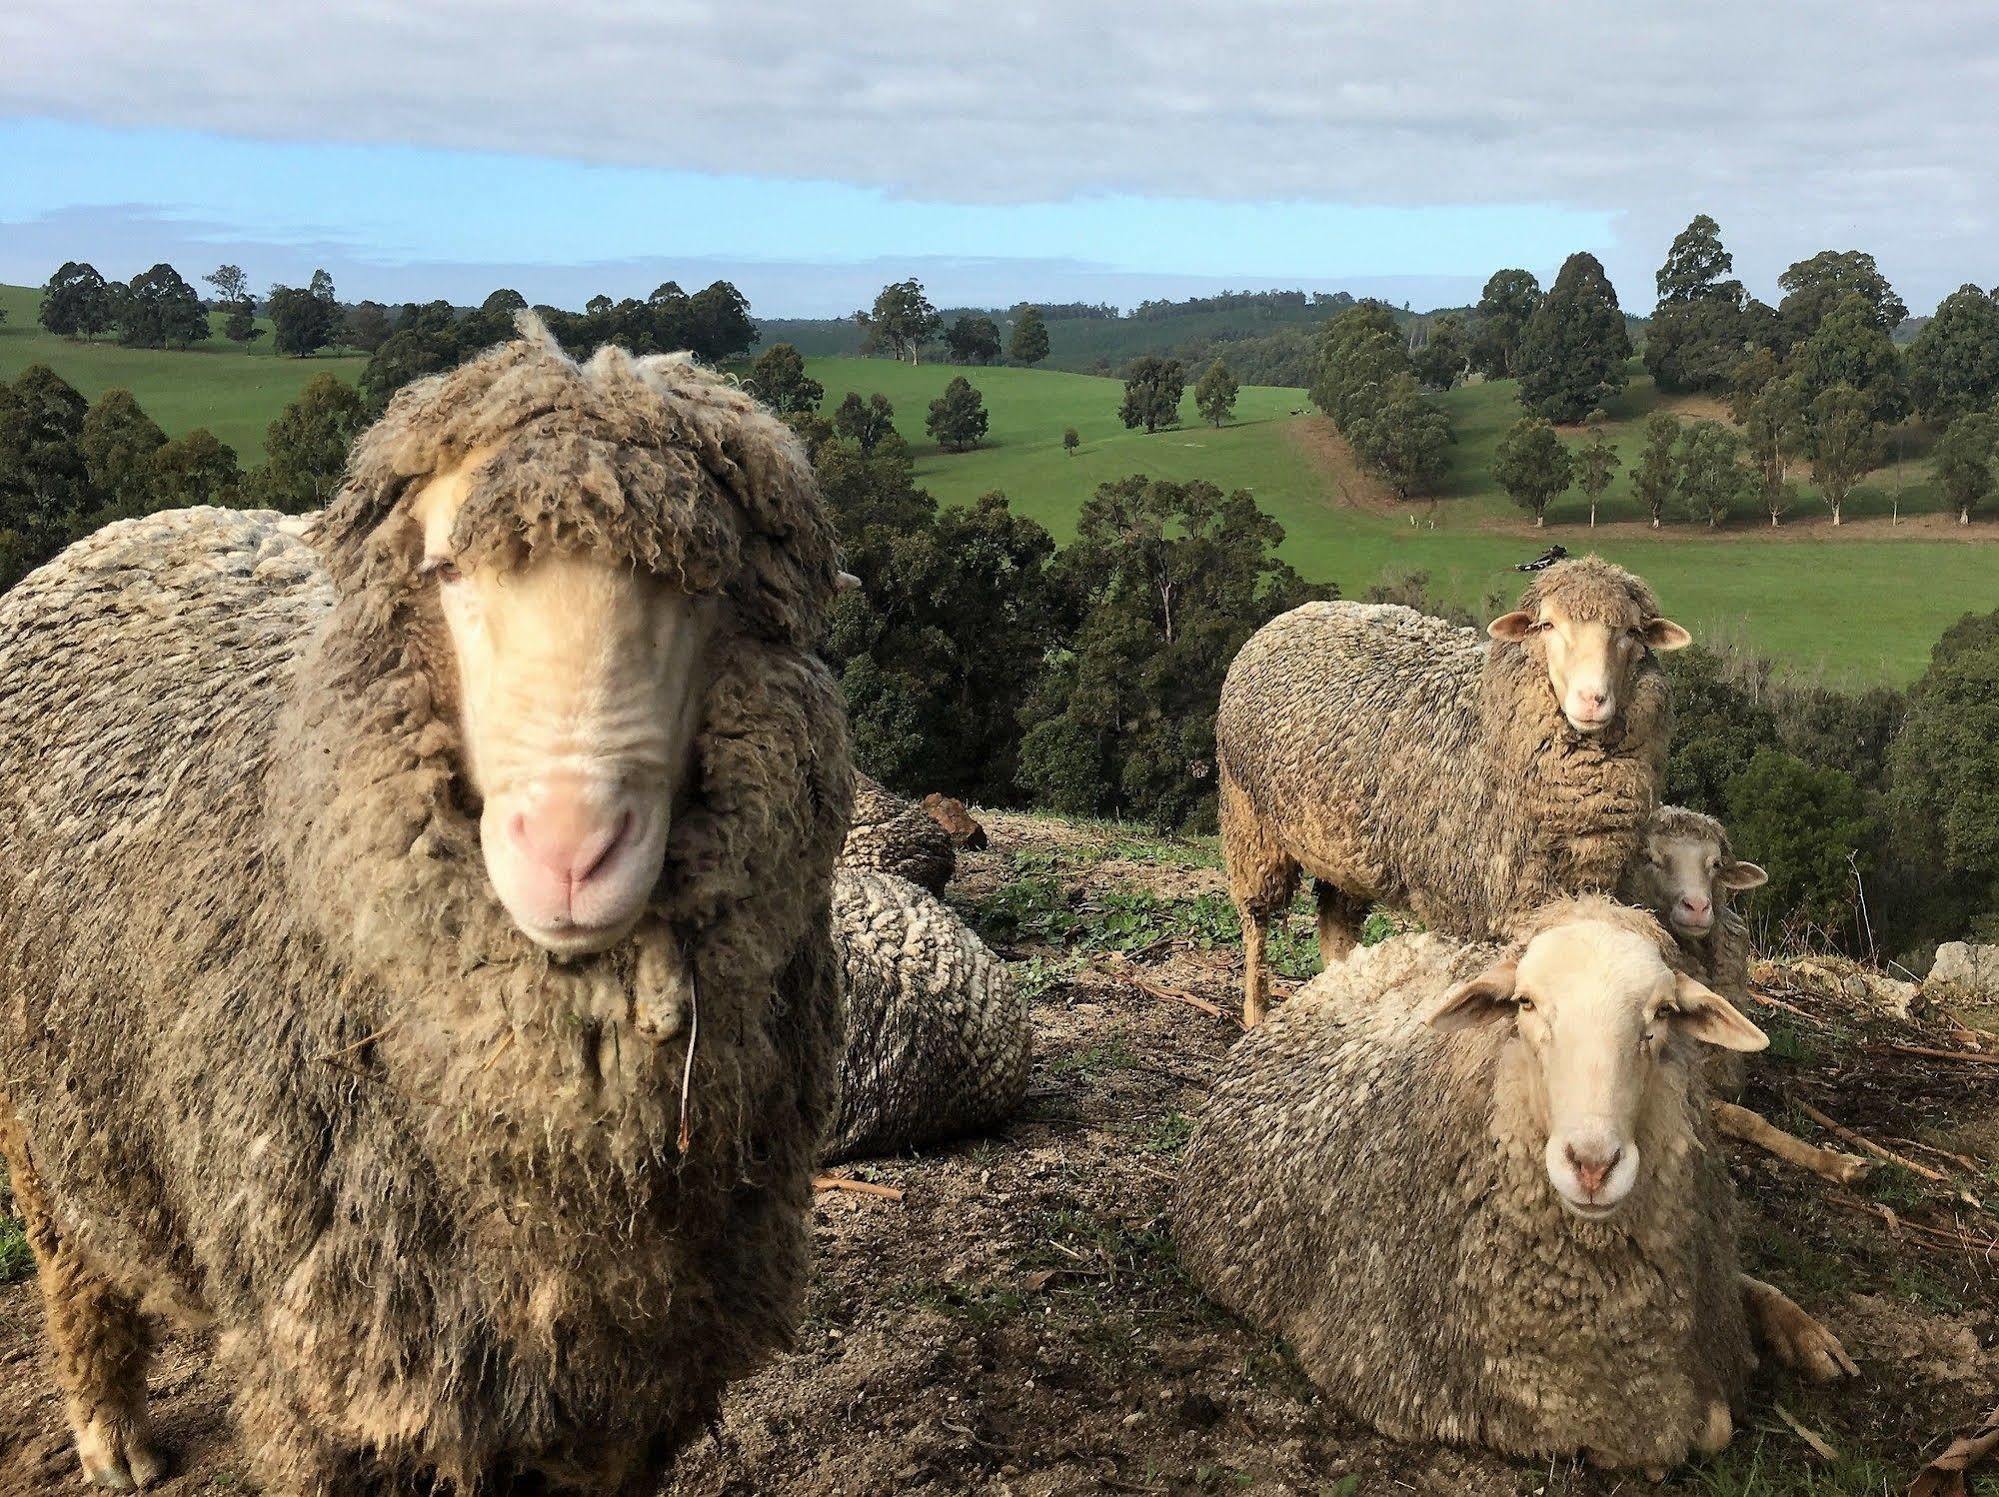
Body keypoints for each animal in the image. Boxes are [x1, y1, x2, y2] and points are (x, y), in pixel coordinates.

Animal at [0, 309, 851, 1487]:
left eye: (705, 588)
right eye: (446, 571)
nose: (572, 853)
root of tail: (132, 527)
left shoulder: (633, 1386)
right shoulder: (328, 1364)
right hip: (40, 1108)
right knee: (72, 1253)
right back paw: (110, 1429)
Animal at [1167, 899, 1855, 1471]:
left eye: (1662, 1014)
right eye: (1525, 1004)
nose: (1593, 1164)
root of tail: (1372, 958)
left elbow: (1712, 1421)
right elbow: (1677, 1437)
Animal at [1215, 555, 1687, 1023]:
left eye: (1632, 632)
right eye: (1547, 625)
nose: (1592, 700)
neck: (1488, 727)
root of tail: (1291, 615)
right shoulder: (1467, 907)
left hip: (1343, 850)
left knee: (1335, 930)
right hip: (1248, 820)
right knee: (1255, 922)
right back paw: (1255, 1011)